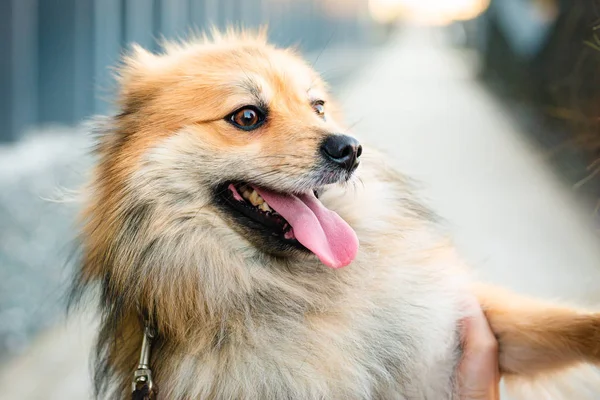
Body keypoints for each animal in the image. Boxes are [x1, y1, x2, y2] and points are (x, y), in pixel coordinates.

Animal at [72, 31, 600, 400]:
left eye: (318, 107)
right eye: (247, 116)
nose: (350, 149)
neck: (303, 291)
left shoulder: (462, 322)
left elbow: (563, 324)